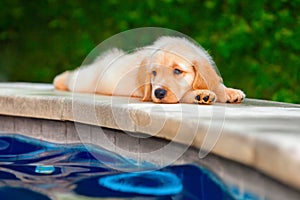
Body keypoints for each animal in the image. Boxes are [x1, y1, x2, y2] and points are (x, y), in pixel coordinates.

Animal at [54, 36, 245, 104]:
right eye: (154, 73)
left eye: (177, 71)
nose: (158, 93)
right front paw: (201, 94)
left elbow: (217, 85)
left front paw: (231, 92)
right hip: (87, 80)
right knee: (73, 77)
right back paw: (59, 80)